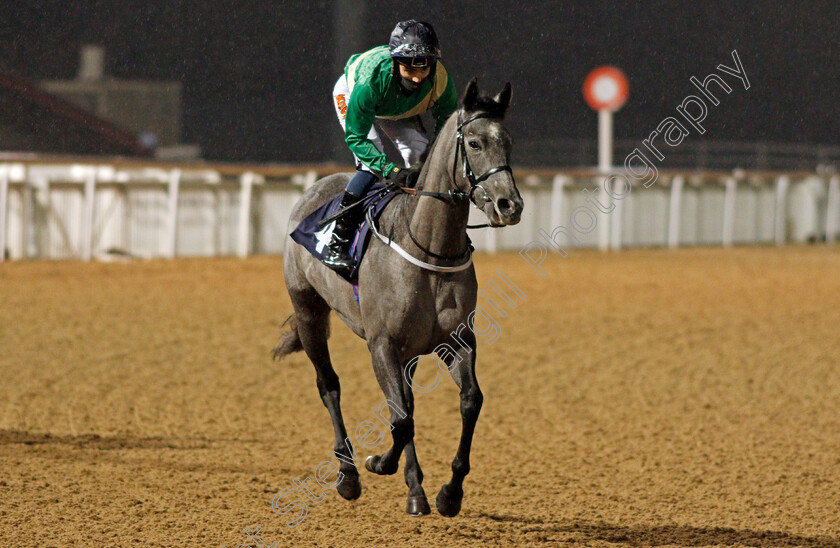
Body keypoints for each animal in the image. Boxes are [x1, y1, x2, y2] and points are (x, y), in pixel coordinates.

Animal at [276, 78, 520, 520]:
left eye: (508, 142)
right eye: (475, 143)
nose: (510, 205)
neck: (429, 248)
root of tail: (315, 188)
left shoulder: (455, 340)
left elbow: (468, 402)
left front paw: (448, 493)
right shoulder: (382, 345)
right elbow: (401, 418)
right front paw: (378, 463)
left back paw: (415, 490)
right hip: (308, 312)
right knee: (329, 386)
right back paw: (349, 475)